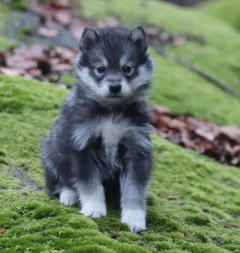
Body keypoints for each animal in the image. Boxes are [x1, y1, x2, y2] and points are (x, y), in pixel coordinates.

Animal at [42, 26, 155, 233]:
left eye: (127, 68)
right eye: (100, 69)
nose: (115, 86)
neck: (110, 110)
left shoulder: (136, 149)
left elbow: (134, 190)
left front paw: (134, 219)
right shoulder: (81, 146)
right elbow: (90, 185)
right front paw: (94, 209)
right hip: (52, 154)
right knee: (61, 181)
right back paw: (69, 195)